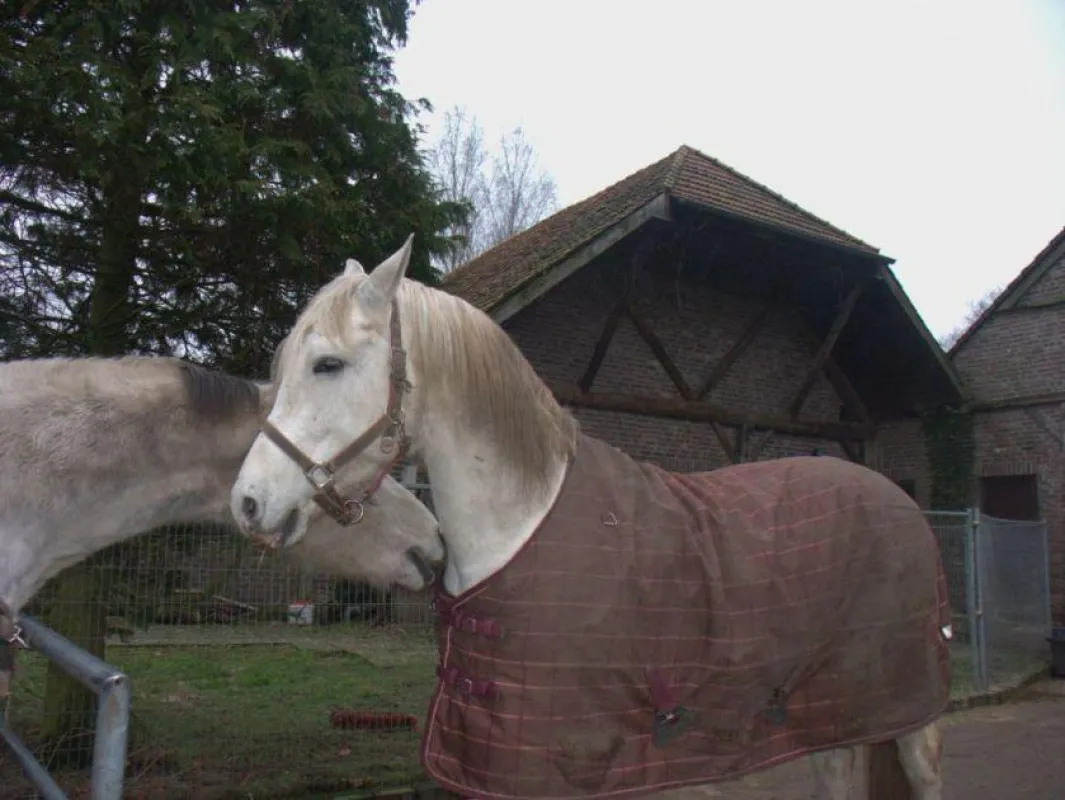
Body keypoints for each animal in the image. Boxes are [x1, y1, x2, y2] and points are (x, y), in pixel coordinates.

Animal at [231, 238, 950, 800]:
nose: (247, 501)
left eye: (328, 364)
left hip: (909, 716)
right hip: (829, 715)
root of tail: (896, 499)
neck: (520, 524)